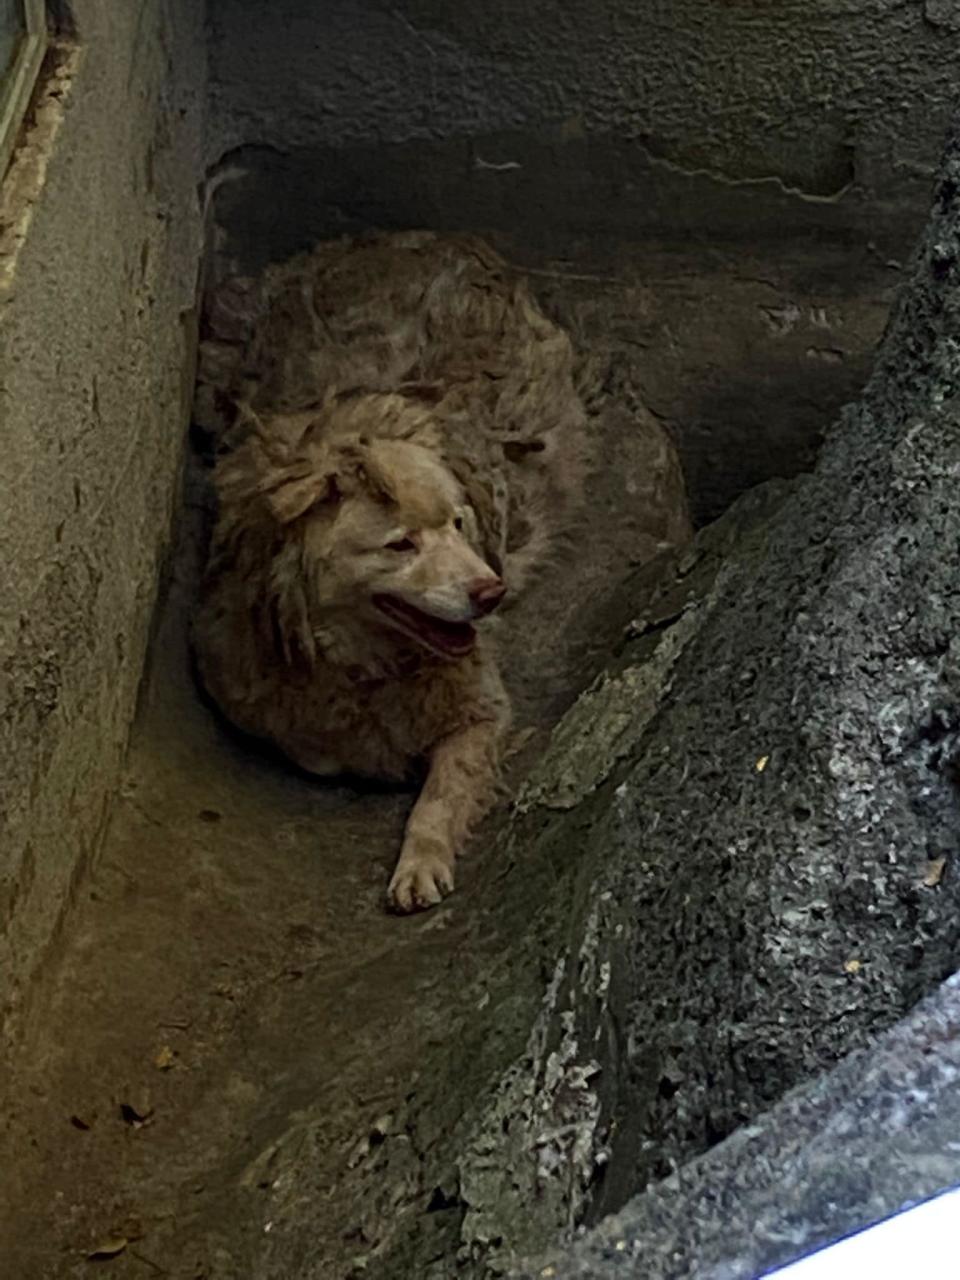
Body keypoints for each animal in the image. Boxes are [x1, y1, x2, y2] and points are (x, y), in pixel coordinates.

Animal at [193, 230, 591, 911]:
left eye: (459, 523)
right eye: (400, 545)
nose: (491, 591)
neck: (370, 665)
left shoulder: (480, 712)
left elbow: (440, 796)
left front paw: (420, 863)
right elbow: (320, 747)